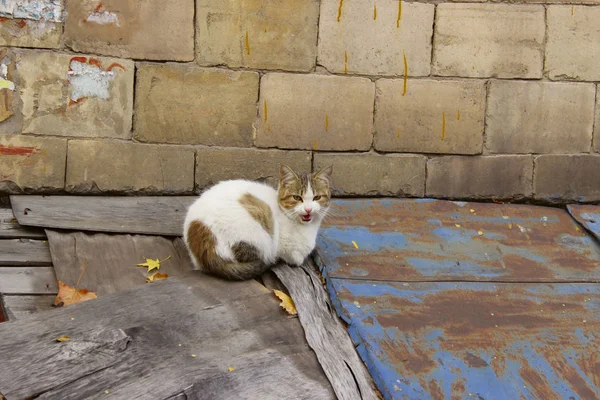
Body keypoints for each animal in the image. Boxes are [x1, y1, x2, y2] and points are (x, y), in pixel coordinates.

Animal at [183, 164, 332, 280]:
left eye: (317, 198)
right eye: (296, 198)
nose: (308, 209)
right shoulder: (284, 248)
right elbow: (295, 256)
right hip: (260, 237)